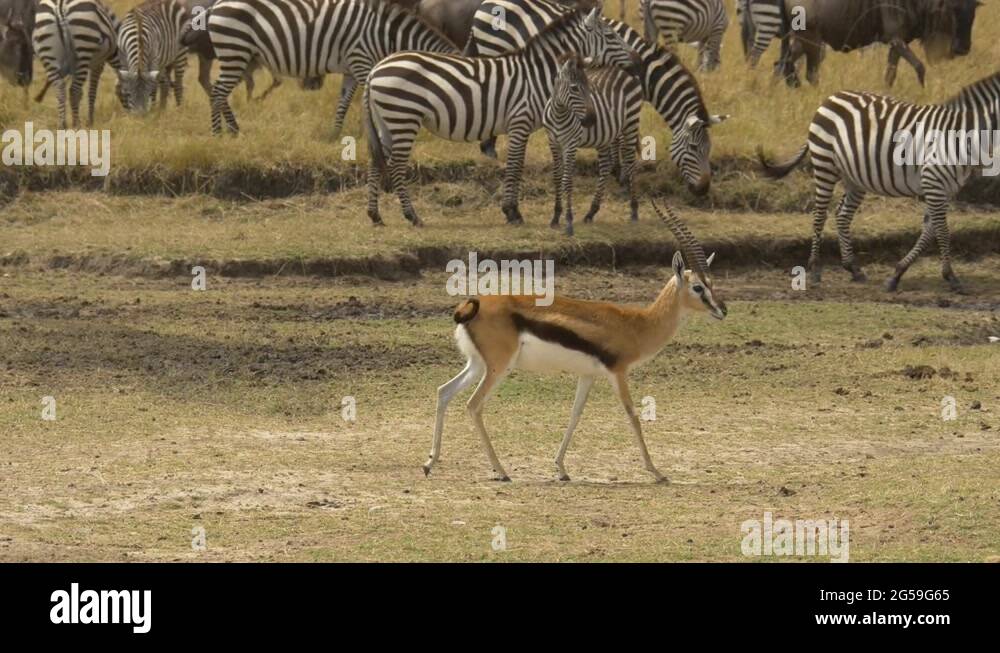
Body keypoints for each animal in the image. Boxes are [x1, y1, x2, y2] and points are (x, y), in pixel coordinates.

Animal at [426, 202, 728, 483]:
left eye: (712, 283)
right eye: (698, 287)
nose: (723, 310)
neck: (637, 324)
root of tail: (471, 306)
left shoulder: (588, 375)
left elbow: (575, 414)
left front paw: (561, 469)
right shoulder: (618, 372)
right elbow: (632, 416)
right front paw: (657, 472)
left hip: (478, 364)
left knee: (444, 391)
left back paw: (430, 463)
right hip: (499, 367)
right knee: (473, 405)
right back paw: (501, 471)